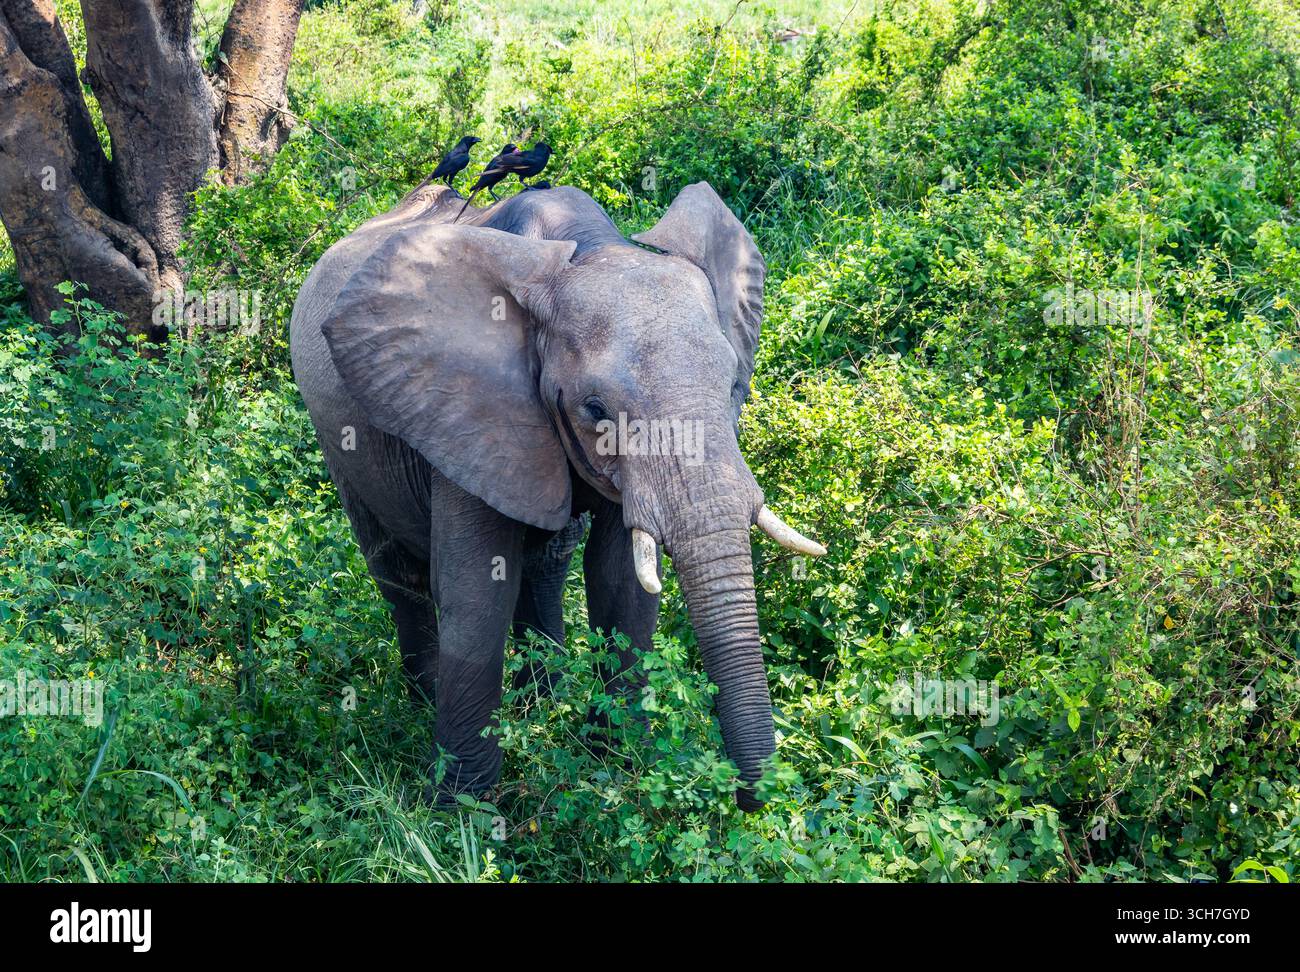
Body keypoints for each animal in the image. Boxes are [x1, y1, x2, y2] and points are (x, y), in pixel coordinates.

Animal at [289, 177, 825, 811]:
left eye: (734, 385)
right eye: (595, 410)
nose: (752, 797)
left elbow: (620, 580)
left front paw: (618, 765)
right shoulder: (466, 412)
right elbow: (475, 589)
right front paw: (463, 813)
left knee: (545, 559)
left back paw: (540, 703)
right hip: (338, 436)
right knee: (397, 571)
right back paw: (429, 703)